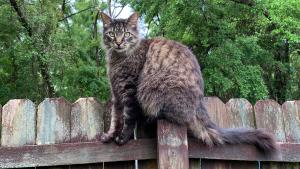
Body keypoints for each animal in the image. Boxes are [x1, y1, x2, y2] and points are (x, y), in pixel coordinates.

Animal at [99, 11, 276, 152]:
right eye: (112, 34)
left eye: (126, 34)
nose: (118, 42)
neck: (117, 59)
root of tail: (199, 104)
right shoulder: (116, 94)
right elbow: (115, 118)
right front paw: (109, 136)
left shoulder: (129, 90)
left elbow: (128, 118)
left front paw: (122, 138)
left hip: (158, 90)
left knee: (175, 117)